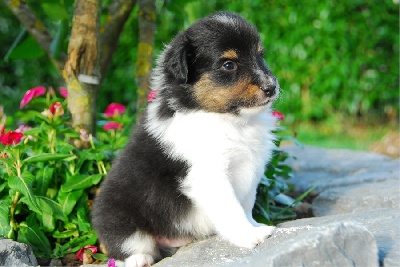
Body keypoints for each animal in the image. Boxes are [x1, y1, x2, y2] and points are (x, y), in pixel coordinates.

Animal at [93, 11, 282, 267]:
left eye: (260, 55)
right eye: (229, 64)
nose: (272, 87)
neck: (229, 120)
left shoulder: (250, 168)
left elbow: (246, 204)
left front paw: (255, 226)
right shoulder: (209, 174)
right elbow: (231, 208)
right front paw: (249, 236)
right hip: (120, 218)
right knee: (128, 246)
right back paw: (140, 259)